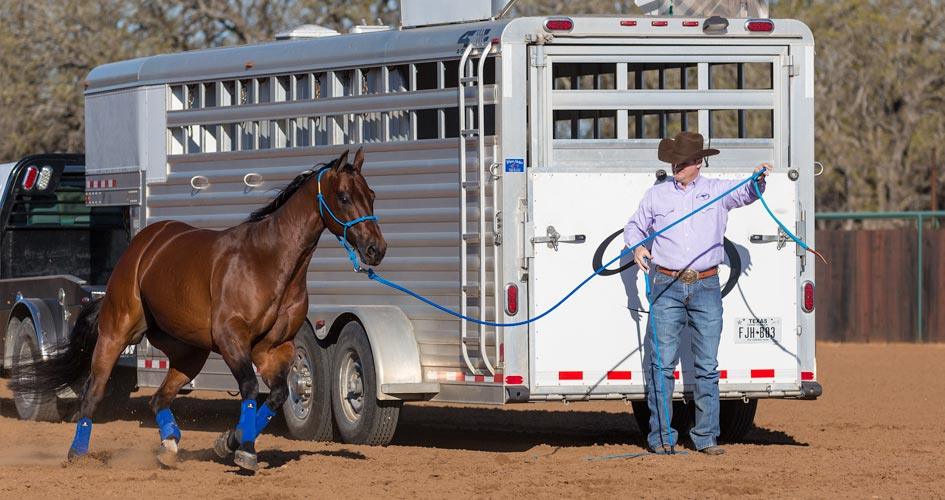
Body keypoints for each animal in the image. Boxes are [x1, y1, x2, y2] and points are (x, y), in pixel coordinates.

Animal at [10, 148, 385, 472]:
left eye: (371, 194)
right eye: (344, 197)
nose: (376, 248)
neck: (268, 262)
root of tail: (144, 245)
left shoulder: (276, 349)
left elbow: (278, 394)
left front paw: (230, 441)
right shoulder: (232, 339)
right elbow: (250, 388)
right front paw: (243, 450)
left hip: (188, 353)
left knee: (159, 400)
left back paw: (170, 445)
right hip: (116, 334)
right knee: (94, 392)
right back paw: (78, 453)